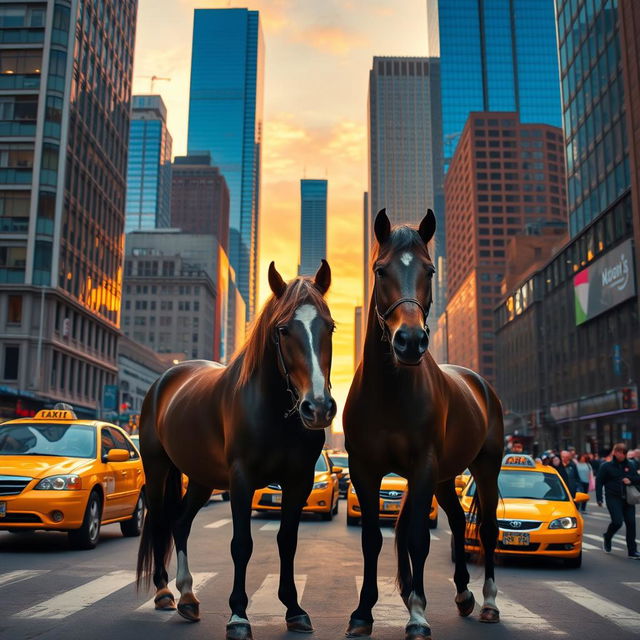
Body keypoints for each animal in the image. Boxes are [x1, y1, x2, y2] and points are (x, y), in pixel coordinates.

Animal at [135, 260, 336, 640]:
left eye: (329, 326)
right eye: (283, 329)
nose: (317, 408)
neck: (275, 410)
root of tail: (164, 380)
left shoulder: (299, 481)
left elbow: (287, 541)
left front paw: (294, 609)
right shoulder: (241, 479)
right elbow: (242, 544)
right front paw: (239, 615)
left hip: (201, 479)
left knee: (180, 522)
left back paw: (188, 596)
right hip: (156, 469)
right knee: (159, 520)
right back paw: (165, 591)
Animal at [344, 209, 504, 636]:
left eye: (430, 271)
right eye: (380, 270)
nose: (411, 341)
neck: (391, 390)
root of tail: (480, 383)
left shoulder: (423, 466)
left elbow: (417, 537)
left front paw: (417, 613)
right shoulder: (363, 469)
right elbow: (371, 538)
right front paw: (363, 613)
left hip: (485, 466)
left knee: (487, 529)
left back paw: (489, 603)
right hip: (447, 477)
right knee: (457, 519)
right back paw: (463, 594)